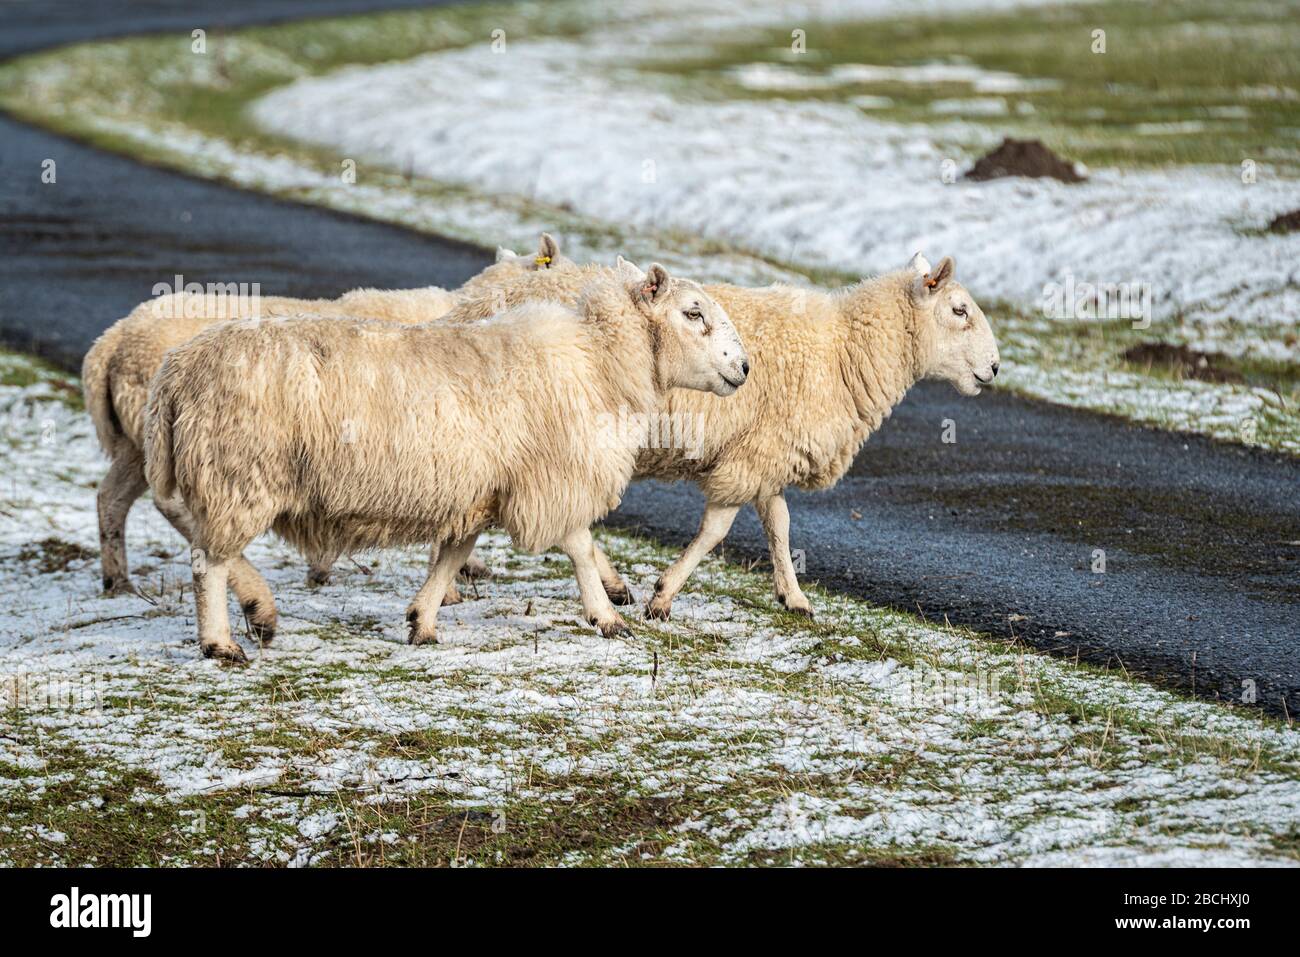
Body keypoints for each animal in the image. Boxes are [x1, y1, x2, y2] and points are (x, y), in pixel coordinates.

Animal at [142, 263, 748, 665]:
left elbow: (453, 556)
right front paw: (608, 616)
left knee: (201, 541)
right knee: (207, 562)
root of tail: (176, 372)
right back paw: (221, 642)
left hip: (223, 478)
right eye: (693, 313)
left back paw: (257, 611)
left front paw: (423, 622)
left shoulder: (479, 490)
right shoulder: (550, 474)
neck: (599, 359)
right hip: (239, 475)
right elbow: (578, 543)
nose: (744, 367)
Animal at [434, 250, 993, 616]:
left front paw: (793, 596)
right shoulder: (750, 459)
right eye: (960, 310)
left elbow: (779, 524)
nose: (994, 367)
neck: (843, 351)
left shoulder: (767, 451)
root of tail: (475, 299)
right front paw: (663, 595)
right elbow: (716, 531)